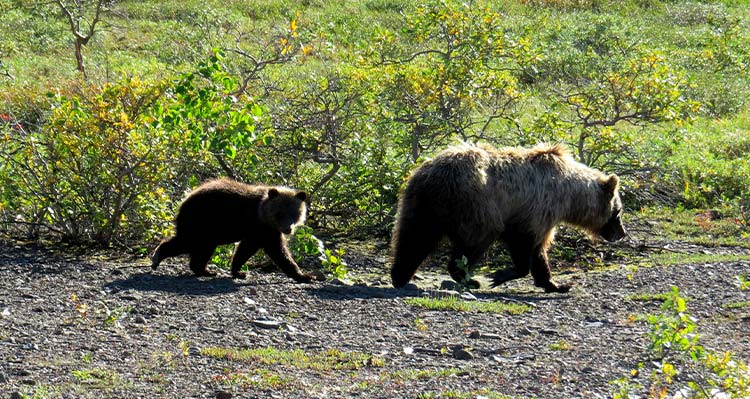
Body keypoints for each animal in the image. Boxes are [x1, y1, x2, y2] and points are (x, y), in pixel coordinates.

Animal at [151, 178, 316, 284]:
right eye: (279, 214)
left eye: (294, 213)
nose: (288, 229)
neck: (262, 212)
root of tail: (184, 200)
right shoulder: (260, 228)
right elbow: (277, 251)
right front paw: (305, 275)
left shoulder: (264, 231)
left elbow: (249, 249)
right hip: (201, 222)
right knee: (187, 241)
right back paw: (157, 257)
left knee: (202, 249)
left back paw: (205, 270)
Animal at [390, 142, 624, 292]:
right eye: (618, 211)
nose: (621, 233)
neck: (569, 195)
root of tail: (433, 176)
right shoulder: (537, 208)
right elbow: (525, 244)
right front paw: (500, 275)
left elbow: (539, 252)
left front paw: (556, 284)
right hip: (475, 205)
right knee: (476, 239)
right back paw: (467, 278)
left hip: (420, 203)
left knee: (414, 238)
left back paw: (399, 276)